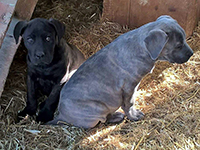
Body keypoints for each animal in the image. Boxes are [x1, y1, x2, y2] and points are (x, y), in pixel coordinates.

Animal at [47, 15, 193, 128]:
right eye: (178, 46)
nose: (191, 53)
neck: (142, 48)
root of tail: (61, 116)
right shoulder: (129, 87)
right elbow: (129, 104)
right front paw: (134, 116)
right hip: (97, 108)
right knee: (102, 120)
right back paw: (116, 117)